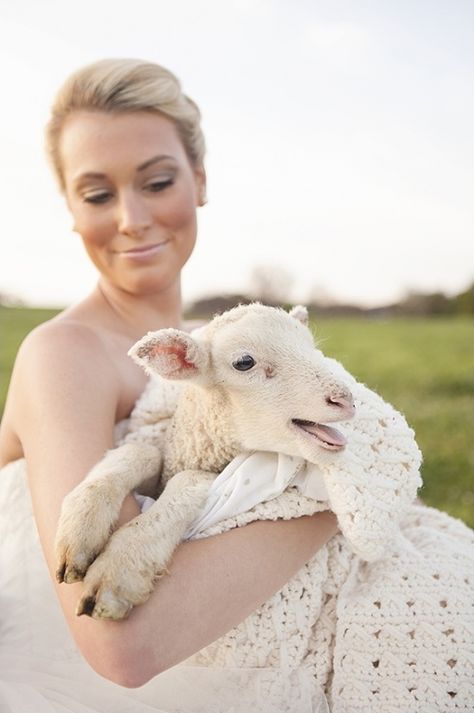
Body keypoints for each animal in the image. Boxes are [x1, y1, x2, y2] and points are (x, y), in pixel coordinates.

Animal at [53, 304, 356, 620]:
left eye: (313, 349)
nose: (345, 399)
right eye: (244, 362)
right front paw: (80, 531)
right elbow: (141, 451)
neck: (196, 447)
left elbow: (189, 479)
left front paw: (119, 569)